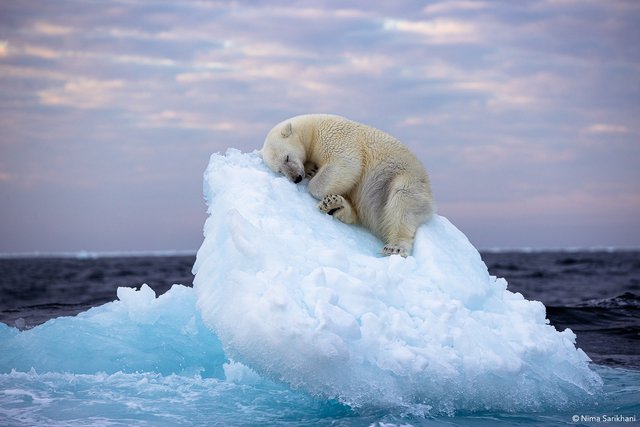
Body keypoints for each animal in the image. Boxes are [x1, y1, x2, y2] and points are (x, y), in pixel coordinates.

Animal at [260, 112, 436, 258]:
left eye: (287, 157)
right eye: (280, 170)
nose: (296, 178)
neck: (312, 129)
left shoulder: (334, 137)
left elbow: (346, 163)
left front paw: (313, 181)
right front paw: (311, 170)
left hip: (405, 178)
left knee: (403, 201)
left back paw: (395, 247)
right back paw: (334, 205)